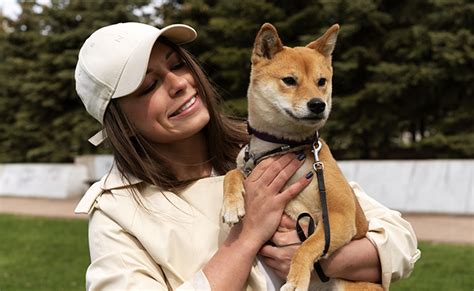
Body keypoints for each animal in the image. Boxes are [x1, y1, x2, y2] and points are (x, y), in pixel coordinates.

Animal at [223, 23, 386, 291]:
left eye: (321, 82)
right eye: (289, 80)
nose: (318, 104)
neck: (282, 146)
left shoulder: (339, 216)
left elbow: (308, 245)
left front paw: (296, 280)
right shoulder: (247, 164)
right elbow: (232, 173)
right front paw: (232, 205)